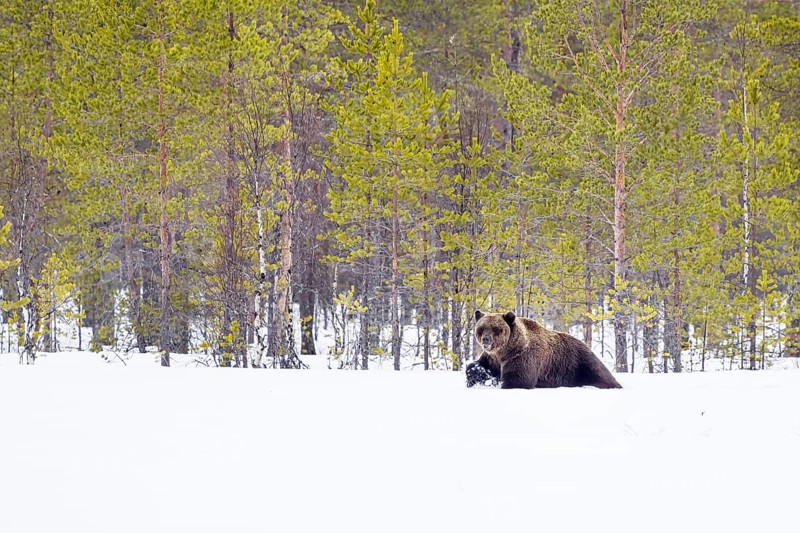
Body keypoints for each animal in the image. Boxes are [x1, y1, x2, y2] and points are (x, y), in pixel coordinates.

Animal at [465, 310, 621, 389]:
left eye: (496, 329)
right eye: (481, 328)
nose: (486, 339)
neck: (504, 351)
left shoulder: (522, 356)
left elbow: (519, 379)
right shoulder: (493, 359)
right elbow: (480, 366)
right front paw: (473, 374)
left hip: (579, 362)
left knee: (600, 374)